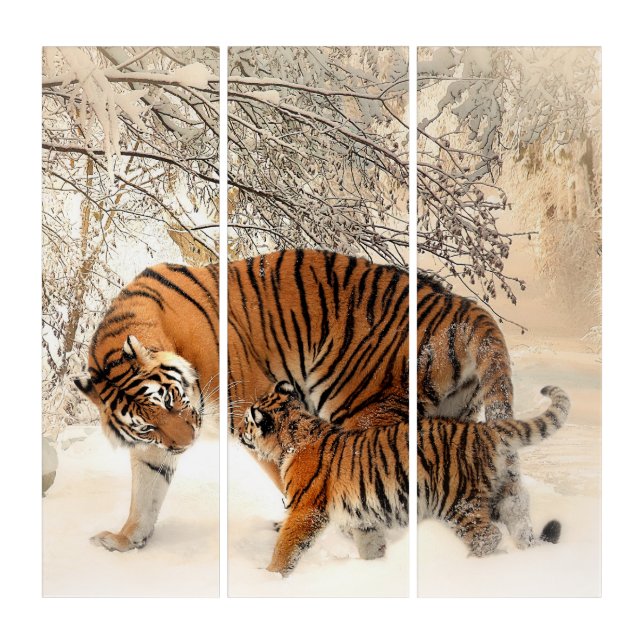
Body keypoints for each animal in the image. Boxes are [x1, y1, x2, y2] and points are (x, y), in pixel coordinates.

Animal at [74, 248, 513, 551]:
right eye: (146, 425)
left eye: (169, 400)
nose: (186, 444)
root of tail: (457, 306)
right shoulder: (154, 447)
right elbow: (145, 493)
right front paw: (125, 540)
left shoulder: (253, 411)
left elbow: (289, 475)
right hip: (451, 418)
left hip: (361, 408)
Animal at [239, 381, 569, 577]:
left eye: (246, 421)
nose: (239, 432)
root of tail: (484, 429)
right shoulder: (363, 517)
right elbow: (370, 546)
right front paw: (375, 569)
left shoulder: (305, 509)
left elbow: (286, 546)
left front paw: (270, 577)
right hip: (502, 494)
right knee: (519, 520)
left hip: (457, 501)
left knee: (488, 537)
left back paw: (468, 566)